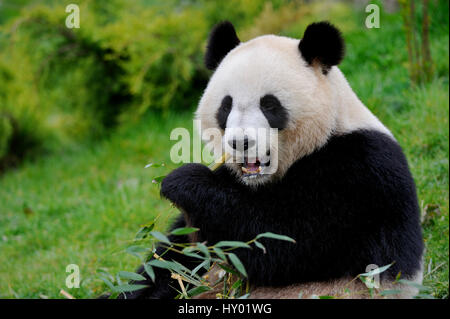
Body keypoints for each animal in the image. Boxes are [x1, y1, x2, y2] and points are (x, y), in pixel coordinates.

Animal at [124, 21, 426, 298]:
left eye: (269, 105)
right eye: (226, 106)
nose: (240, 143)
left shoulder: (359, 172)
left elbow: (282, 242)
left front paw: (183, 181)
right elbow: (175, 258)